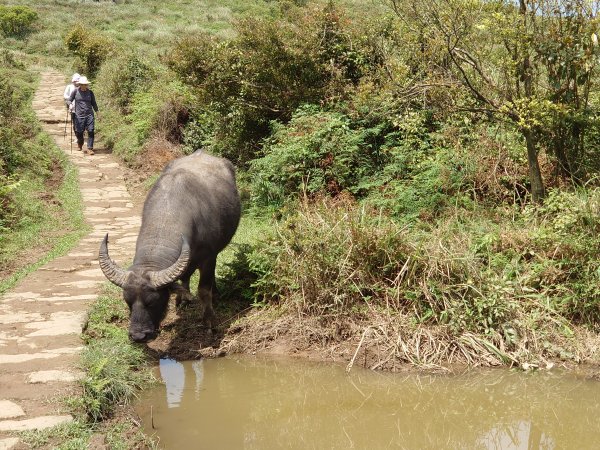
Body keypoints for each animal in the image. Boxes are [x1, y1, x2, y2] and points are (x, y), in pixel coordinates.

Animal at [98, 149, 239, 342]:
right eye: (127, 301)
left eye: (153, 301)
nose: (138, 335)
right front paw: (183, 299)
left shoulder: (209, 257)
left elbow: (204, 290)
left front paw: (210, 322)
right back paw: (183, 300)